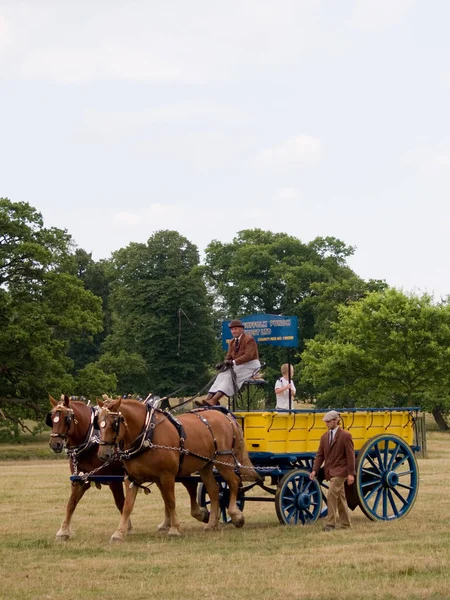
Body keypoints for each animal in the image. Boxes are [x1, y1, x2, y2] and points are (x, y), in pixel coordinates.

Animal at [96, 396, 256, 540]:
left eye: (114, 424)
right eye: (98, 423)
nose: (103, 454)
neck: (147, 434)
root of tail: (226, 417)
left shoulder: (167, 475)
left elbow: (171, 500)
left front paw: (174, 529)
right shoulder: (132, 478)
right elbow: (127, 506)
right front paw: (119, 533)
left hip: (223, 461)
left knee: (233, 482)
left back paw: (236, 515)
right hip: (205, 465)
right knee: (214, 490)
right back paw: (211, 524)